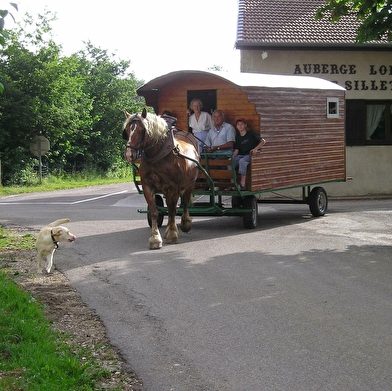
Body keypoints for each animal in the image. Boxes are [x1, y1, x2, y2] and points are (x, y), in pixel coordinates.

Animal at [122, 108, 201, 248]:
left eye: (141, 130)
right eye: (126, 130)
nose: (129, 155)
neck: (158, 156)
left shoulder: (173, 187)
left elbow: (172, 210)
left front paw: (172, 234)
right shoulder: (148, 185)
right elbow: (155, 211)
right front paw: (155, 238)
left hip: (189, 184)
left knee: (184, 203)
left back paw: (184, 223)